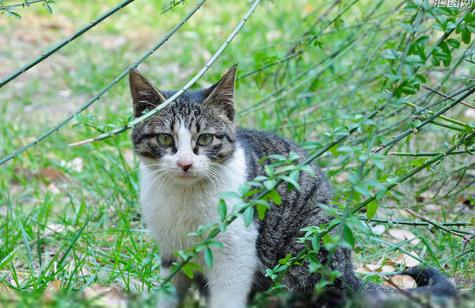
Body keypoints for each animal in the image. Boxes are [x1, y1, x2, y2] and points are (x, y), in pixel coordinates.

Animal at [130, 66, 458, 306]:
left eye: (205, 139)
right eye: (165, 139)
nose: (185, 163)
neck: (185, 199)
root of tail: (347, 271)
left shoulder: (236, 253)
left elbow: (227, 295)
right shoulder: (171, 253)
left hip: (307, 251)